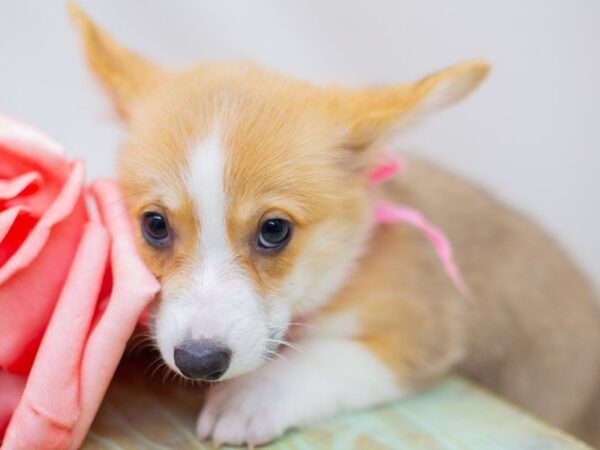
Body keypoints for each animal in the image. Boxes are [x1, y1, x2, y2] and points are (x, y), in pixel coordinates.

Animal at [69, 4, 600, 446]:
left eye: (275, 230)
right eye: (155, 224)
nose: (199, 363)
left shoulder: (419, 328)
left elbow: (323, 358)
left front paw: (252, 397)